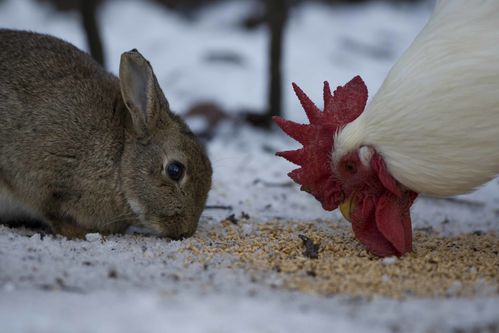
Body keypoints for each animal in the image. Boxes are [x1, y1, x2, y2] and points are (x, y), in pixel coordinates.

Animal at [0, 29, 213, 239]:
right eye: (175, 170)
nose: (185, 231)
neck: (120, 159)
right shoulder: (42, 179)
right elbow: (52, 213)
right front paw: (80, 234)